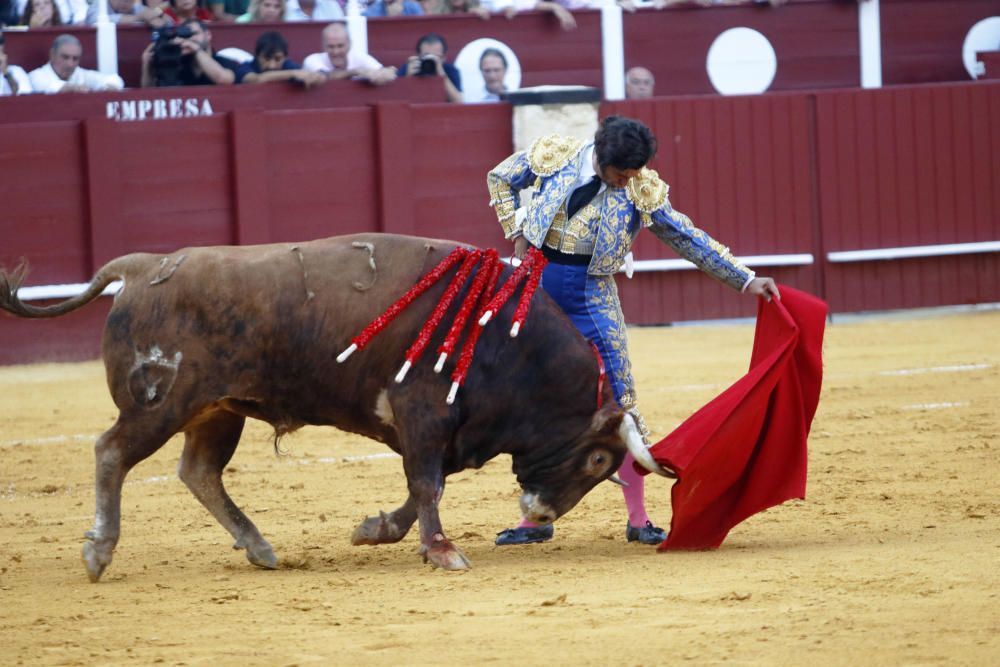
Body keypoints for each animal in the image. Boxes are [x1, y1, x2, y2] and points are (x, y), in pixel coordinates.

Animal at [1, 234, 672, 580]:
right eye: (596, 462)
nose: (540, 512)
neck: (507, 337)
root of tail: (142, 267)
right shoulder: (424, 412)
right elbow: (427, 485)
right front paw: (443, 551)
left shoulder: (443, 431)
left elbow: (420, 489)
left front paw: (376, 532)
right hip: (159, 405)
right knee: (112, 452)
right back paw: (98, 551)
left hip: (218, 410)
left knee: (199, 472)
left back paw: (259, 548)